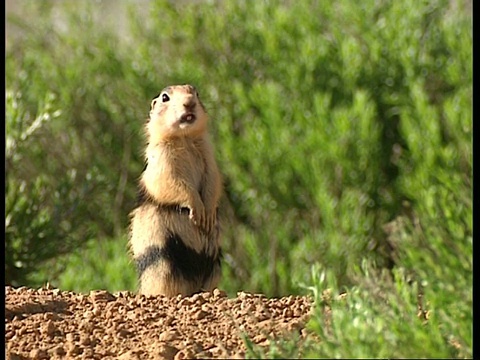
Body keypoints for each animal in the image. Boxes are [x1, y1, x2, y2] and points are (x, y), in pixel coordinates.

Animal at [128, 83, 224, 296]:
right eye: (165, 97)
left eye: (196, 92)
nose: (189, 102)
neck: (185, 138)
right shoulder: (162, 160)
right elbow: (172, 182)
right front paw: (198, 210)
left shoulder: (209, 157)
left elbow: (213, 181)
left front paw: (208, 213)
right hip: (163, 263)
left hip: (215, 265)